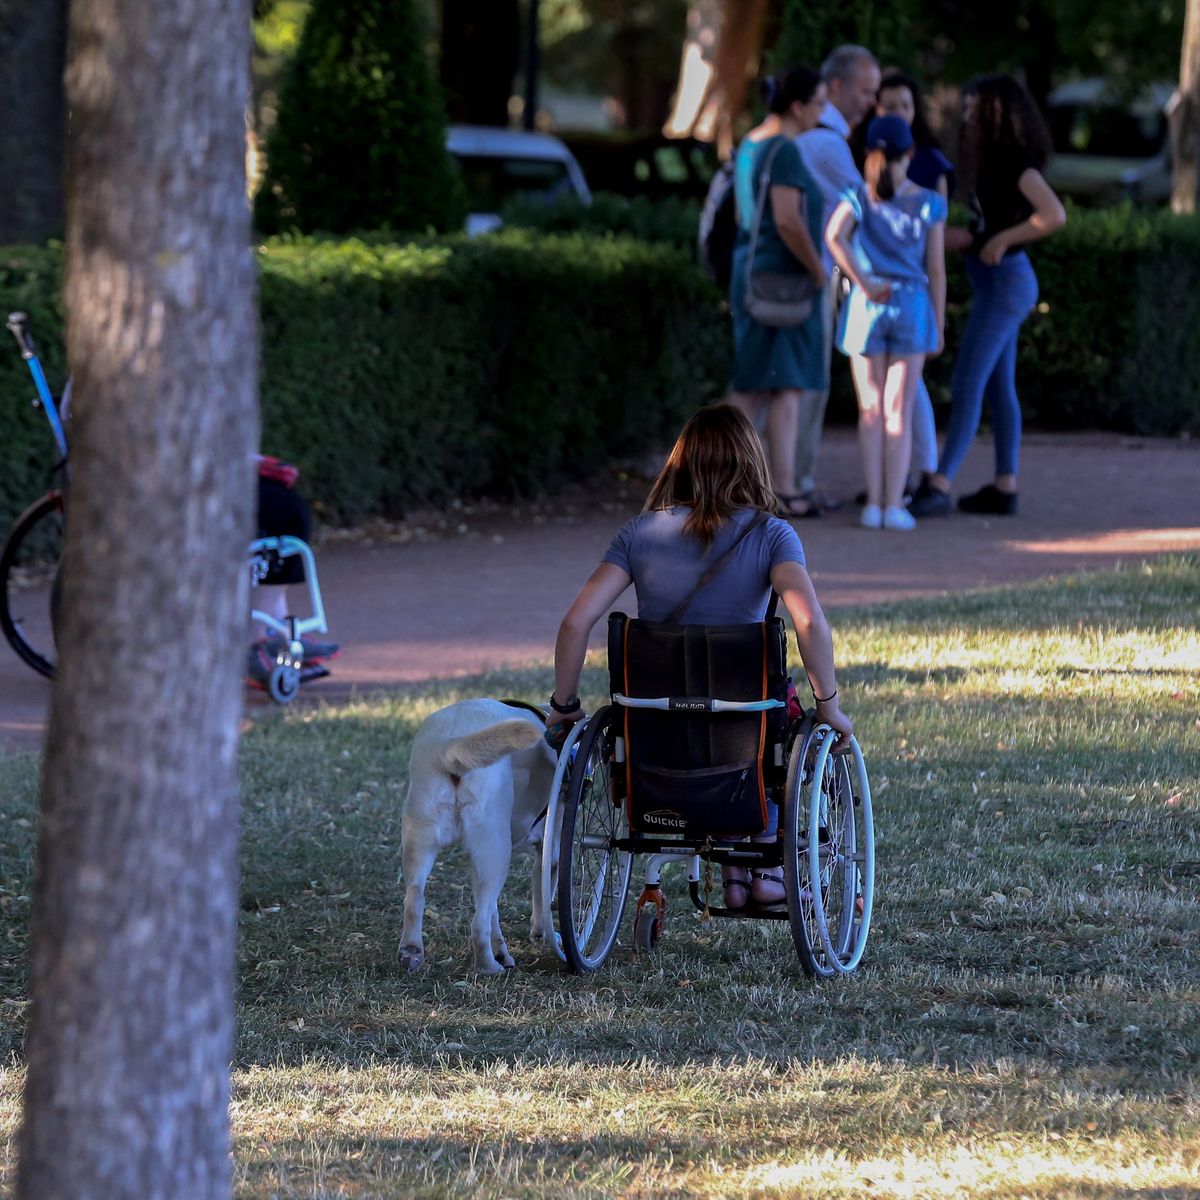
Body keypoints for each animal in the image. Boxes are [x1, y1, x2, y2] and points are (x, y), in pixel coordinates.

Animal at [398, 700, 556, 969]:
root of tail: (449, 745)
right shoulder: (549, 854)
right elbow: (541, 898)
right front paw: (541, 932)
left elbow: (494, 910)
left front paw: (503, 949)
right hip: (496, 852)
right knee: (478, 926)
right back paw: (489, 967)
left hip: (420, 842)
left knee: (414, 899)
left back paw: (411, 951)